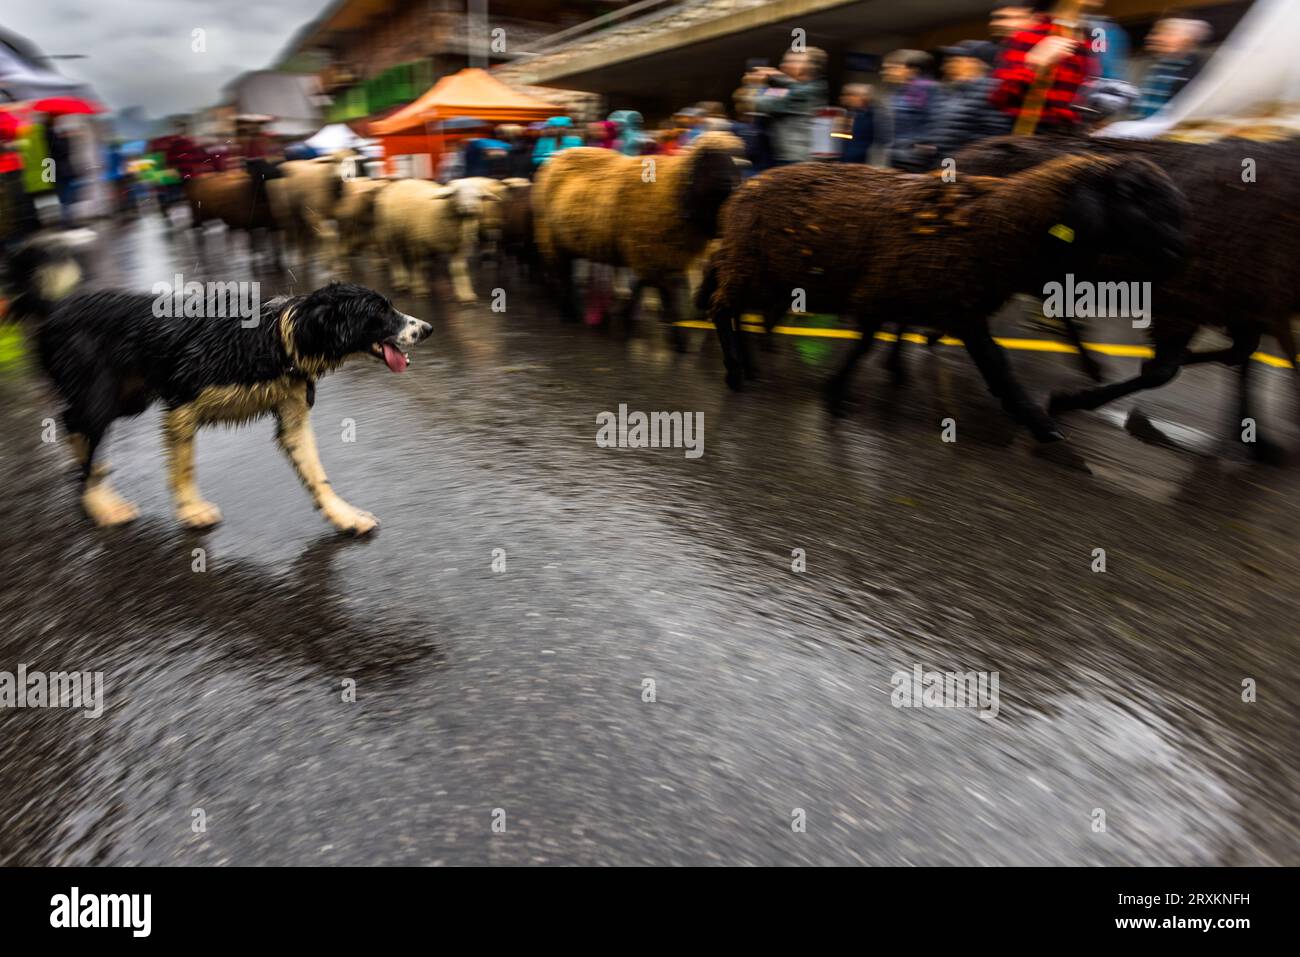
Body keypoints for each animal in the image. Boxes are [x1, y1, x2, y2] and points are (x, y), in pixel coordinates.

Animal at [5, 239, 431, 535]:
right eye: (379, 312)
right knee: (76, 425)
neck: (276, 338)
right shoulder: (181, 405)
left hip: (130, 397)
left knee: (75, 428)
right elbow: (185, 467)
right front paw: (192, 511)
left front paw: (345, 517)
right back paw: (100, 503)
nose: (427, 328)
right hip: (102, 396)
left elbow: (317, 474)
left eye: (390, 306)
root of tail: (55, 307)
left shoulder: (293, 417)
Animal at [530, 130, 743, 343]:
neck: (672, 191)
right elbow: (664, 295)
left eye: (731, 160)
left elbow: (644, 286)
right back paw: (568, 312)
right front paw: (676, 338)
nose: (733, 183)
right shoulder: (648, 253)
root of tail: (556, 158)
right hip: (552, 239)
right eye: (708, 160)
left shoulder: (655, 256)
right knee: (563, 276)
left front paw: (626, 317)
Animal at [702, 155, 1190, 442]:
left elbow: (995, 363)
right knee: (722, 309)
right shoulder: (892, 292)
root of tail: (743, 186)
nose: (1180, 251)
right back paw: (735, 372)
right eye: (1133, 194)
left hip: (766, 275)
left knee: (740, 312)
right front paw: (837, 394)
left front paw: (1034, 417)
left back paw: (750, 364)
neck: (996, 227)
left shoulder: (957, 308)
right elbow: (867, 344)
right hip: (750, 265)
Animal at [956, 134, 1300, 462]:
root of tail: (969, 153)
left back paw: (1089, 365)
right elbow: (1165, 372)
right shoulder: (1192, 302)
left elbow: (1240, 358)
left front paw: (1258, 442)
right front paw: (1071, 401)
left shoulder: (1246, 305)